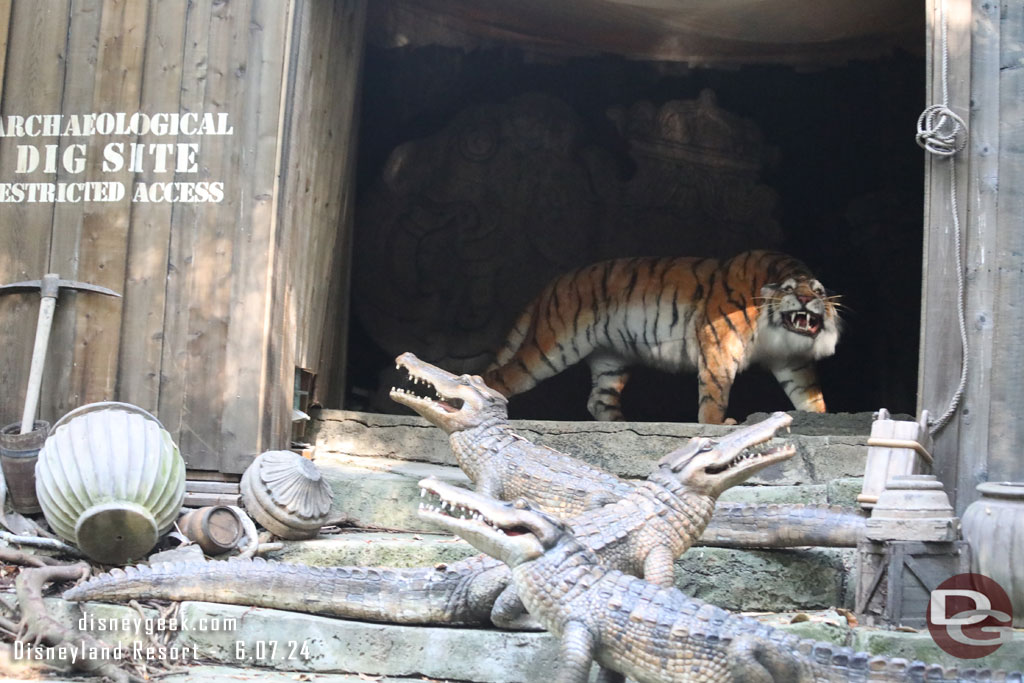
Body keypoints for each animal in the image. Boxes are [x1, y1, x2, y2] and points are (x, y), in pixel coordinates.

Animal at [483, 248, 843, 423]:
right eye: (789, 290)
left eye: (818, 291)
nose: (807, 300)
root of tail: (551, 285)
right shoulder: (719, 343)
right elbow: (715, 393)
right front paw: (717, 426)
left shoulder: (794, 361)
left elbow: (809, 395)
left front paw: (820, 418)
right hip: (553, 346)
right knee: (499, 377)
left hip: (611, 360)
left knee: (599, 399)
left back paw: (620, 424)